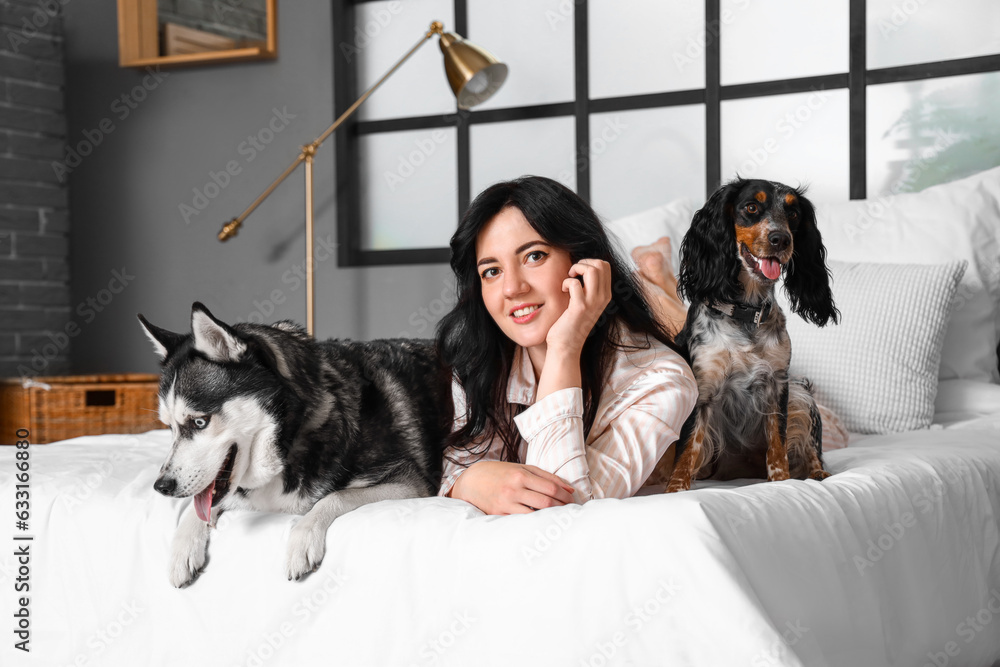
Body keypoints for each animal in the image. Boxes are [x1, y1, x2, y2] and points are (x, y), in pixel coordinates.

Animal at [137, 306, 454, 588]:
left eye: (200, 422)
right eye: (169, 426)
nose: (161, 487)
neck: (288, 442)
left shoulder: (409, 482)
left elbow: (336, 496)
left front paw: (303, 536)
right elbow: (199, 507)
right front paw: (183, 546)